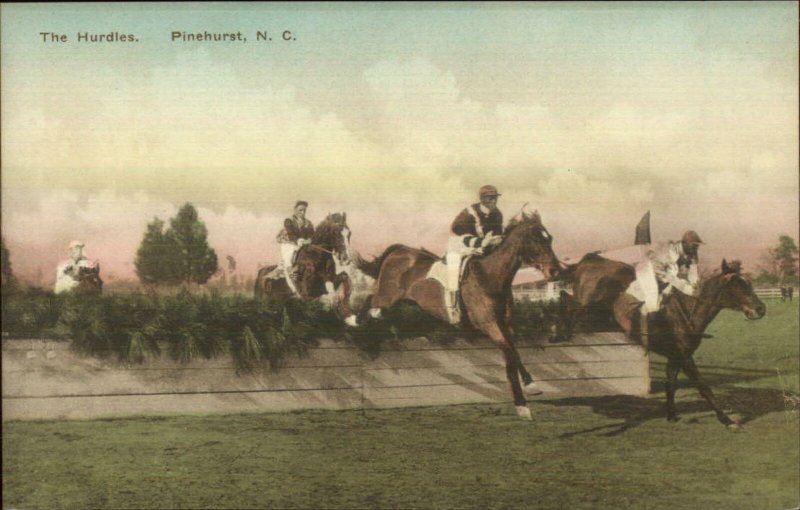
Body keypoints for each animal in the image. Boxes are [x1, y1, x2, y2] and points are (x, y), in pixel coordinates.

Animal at [366, 209, 560, 420]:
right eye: (535, 239)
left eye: (549, 238)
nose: (555, 271)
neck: (490, 276)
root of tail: (398, 251)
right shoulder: (487, 323)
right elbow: (510, 353)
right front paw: (526, 397)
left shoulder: (505, 324)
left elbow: (513, 354)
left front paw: (526, 395)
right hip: (385, 298)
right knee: (371, 311)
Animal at [556, 254, 768, 426]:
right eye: (739, 287)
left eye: (749, 284)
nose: (760, 309)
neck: (686, 312)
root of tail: (588, 261)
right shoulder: (684, 357)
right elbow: (703, 387)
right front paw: (727, 420)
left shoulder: (674, 356)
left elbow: (670, 384)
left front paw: (672, 415)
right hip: (587, 305)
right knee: (570, 306)